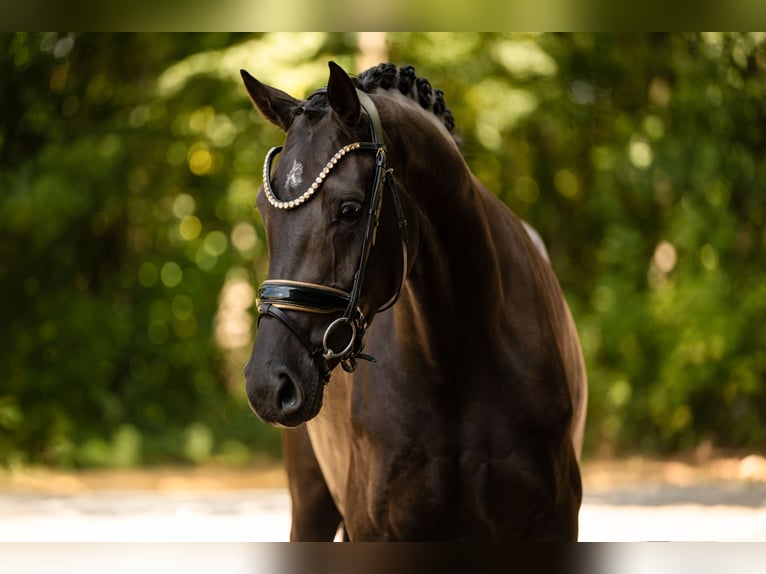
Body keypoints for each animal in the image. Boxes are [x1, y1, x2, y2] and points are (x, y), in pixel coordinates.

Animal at [241, 61, 588, 541]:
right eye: (263, 209)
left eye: (350, 209)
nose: (267, 385)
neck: (455, 360)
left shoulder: (552, 525)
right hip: (310, 502)